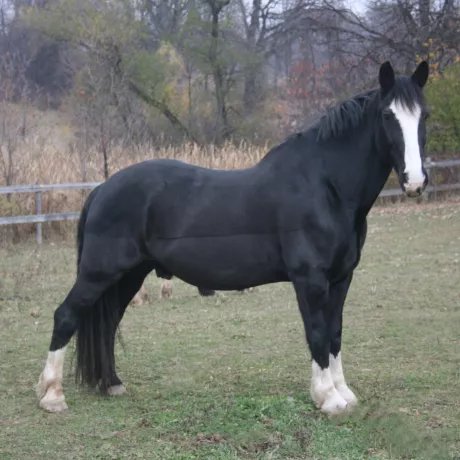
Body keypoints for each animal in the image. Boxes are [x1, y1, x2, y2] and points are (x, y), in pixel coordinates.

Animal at [37, 61, 430, 416]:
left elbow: (334, 333)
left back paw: (112, 385)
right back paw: (52, 396)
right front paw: (328, 399)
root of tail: (102, 188)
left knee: (107, 324)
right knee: (66, 316)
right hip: (99, 273)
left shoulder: (341, 278)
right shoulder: (311, 279)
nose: (415, 181)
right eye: (388, 116)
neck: (325, 186)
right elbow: (317, 333)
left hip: (129, 276)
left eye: (423, 116)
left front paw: (344, 394)